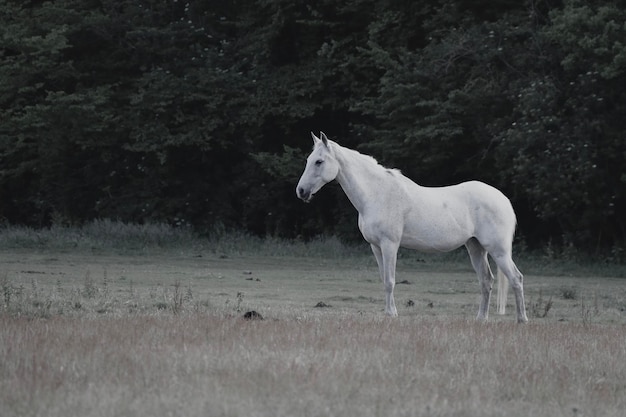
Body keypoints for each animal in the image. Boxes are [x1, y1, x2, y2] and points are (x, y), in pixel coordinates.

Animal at [294, 132, 524, 322]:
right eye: (309, 160)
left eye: (319, 161)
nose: (301, 191)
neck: (377, 194)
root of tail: (503, 199)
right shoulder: (375, 247)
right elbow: (383, 279)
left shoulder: (390, 245)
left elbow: (390, 281)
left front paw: (391, 314)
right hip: (476, 248)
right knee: (486, 281)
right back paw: (481, 318)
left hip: (498, 250)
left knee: (516, 279)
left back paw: (522, 320)